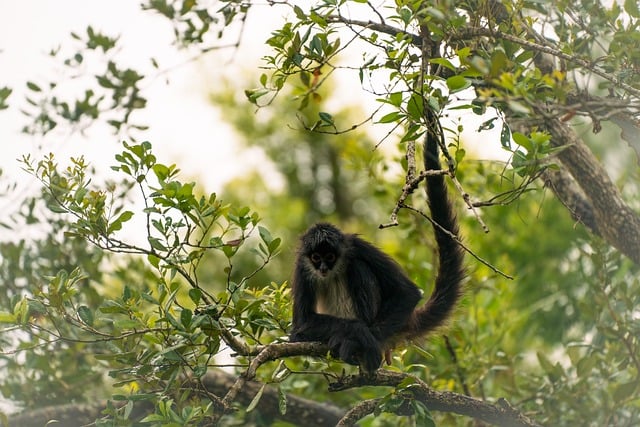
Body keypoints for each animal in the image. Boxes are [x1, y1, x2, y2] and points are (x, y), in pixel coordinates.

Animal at [290, 111, 464, 374]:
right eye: (315, 258)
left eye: (329, 257)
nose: (322, 268)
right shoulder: (302, 266)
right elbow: (300, 326)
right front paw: (356, 332)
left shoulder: (355, 246)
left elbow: (408, 293)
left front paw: (364, 336)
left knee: (358, 267)